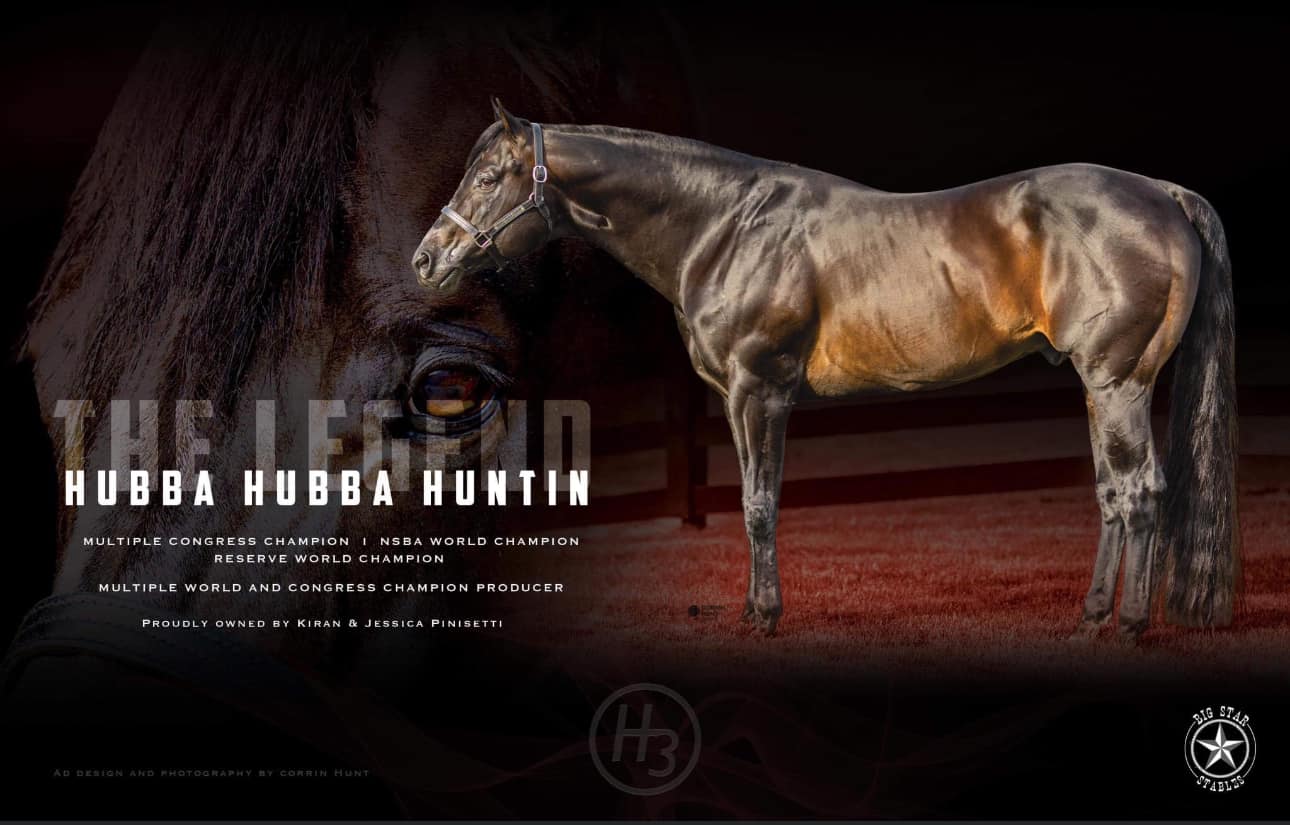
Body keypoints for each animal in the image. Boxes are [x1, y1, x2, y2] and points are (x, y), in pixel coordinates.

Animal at [414, 100, 1240, 639]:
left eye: (489, 177)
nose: (426, 259)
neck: (725, 227)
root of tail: (1162, 194)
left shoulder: (761, 391)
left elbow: (759, 504)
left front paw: (766, 617)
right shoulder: (735, 400)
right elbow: (754, 499)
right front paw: (755, 607)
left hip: (1118, 382)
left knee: (1141, 492)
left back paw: (1128, 623)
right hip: (1099, 387)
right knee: (1112, 495)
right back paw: (1092, 615)